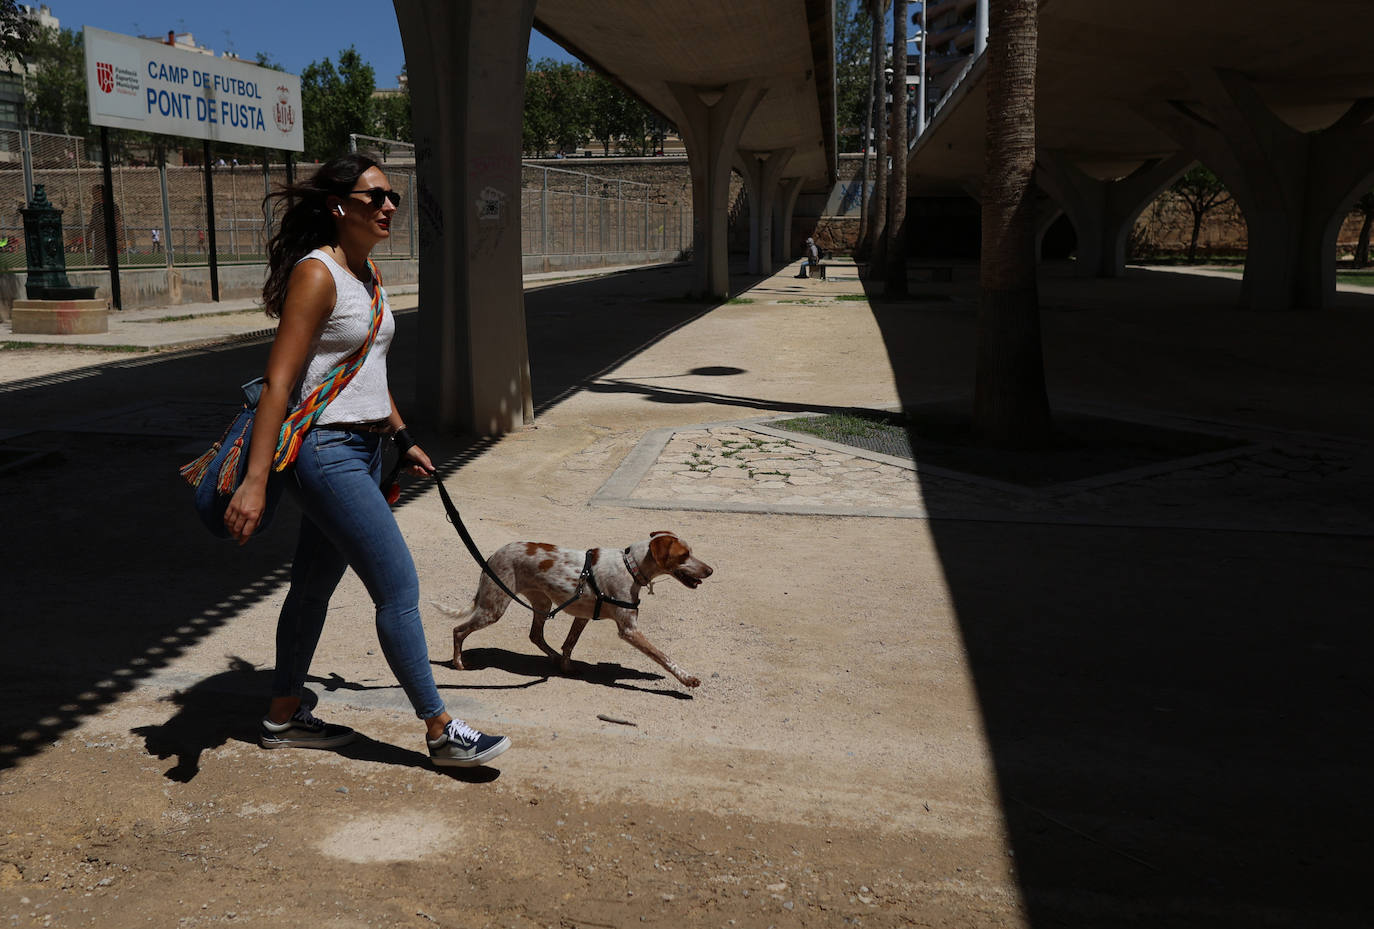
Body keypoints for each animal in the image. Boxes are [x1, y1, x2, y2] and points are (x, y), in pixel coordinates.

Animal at [434, 530, 714, 689]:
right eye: (684, 555)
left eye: (692, 552)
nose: (710, 570)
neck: (630, 566)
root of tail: (492, 556)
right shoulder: (629, 630)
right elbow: (664, 657)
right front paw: (687, 678)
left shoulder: (582, 616)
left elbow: (569, 644)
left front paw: (566, 667)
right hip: (494, 607)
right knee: (458, 630)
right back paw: (458, 663)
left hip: (541, 603)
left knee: (536, 636)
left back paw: (554, 659)